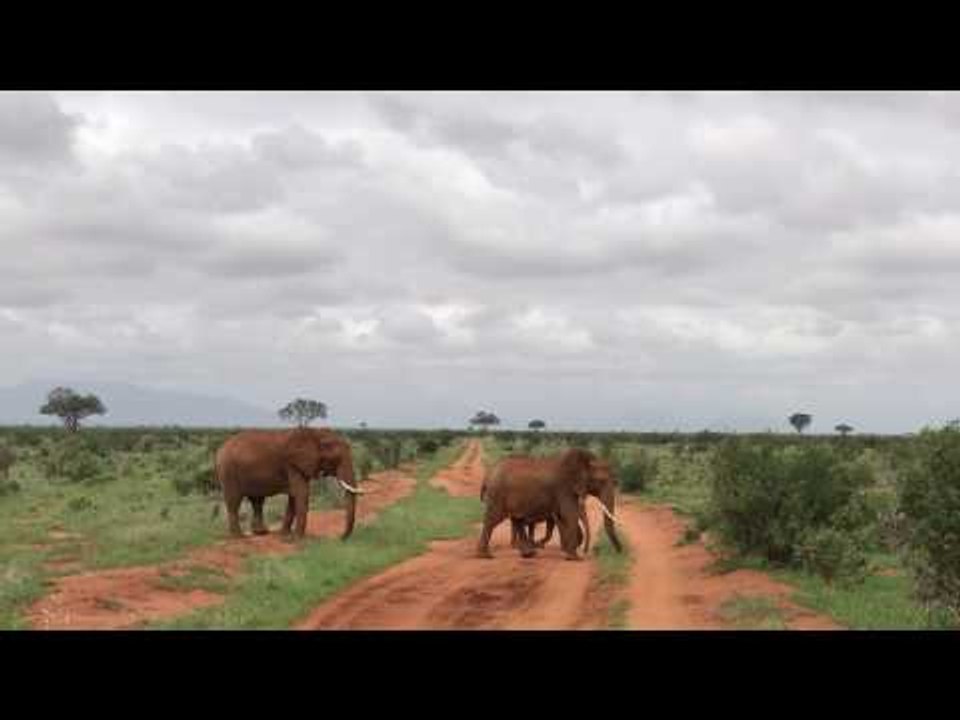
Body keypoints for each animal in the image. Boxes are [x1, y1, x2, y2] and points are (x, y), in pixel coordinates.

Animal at [214, 427, 365, 540]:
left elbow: (294, 496)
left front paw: (285, 535)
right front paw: (297, 539)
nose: (340, 538)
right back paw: (238, 537)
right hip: (228, 471)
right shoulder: (292, 465)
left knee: (257, 501)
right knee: (234, 501)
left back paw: (261, 533)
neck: (314, 433)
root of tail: (221, 449)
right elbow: (302, 493)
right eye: (336, 459)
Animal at [477, 448, 621, 561]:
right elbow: (570, 515)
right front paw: (574, 558)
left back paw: (528, 554)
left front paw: (569, 553)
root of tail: (488, 475)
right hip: (498, 494)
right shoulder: (563, 489)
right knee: (492, 520)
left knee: (516, 520)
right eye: (601, 481)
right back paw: (485, 556)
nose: (619, 553)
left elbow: (564, 517)